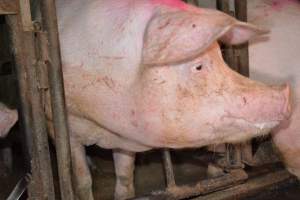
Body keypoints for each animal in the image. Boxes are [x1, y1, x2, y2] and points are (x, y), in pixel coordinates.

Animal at [52, 0, 292, 199]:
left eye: (222, 58)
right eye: (198, 66)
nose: (287, 93)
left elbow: (125, 177)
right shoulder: (68, 126)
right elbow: (82, 180)